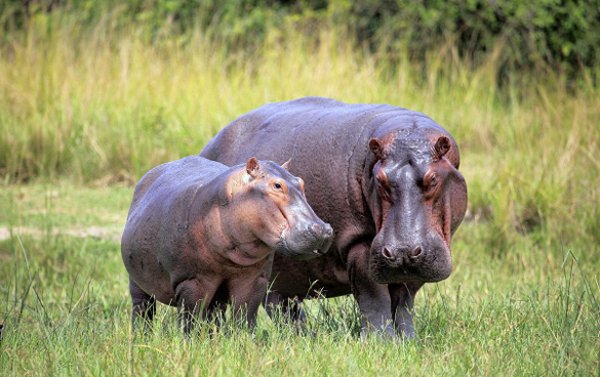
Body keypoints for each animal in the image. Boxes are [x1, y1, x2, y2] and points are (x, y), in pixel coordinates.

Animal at [120, 154, 332, 330]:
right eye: (277, 185)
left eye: (301, 182)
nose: (322, 230)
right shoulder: (190, 281)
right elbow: (189, 320)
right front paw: (189, 345)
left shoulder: (254, 280)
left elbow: (245, 319)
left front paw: (245, 343)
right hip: (137, 283)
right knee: (143, 311)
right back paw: (141, 337)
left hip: (216, 296)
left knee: (212, 316)